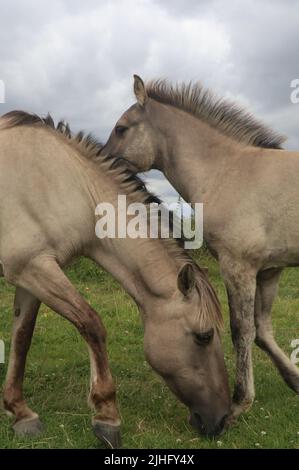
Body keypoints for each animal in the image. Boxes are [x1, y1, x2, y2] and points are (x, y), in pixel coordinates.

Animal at [0, 111, 231, 448]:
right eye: (204, 336)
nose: (224, 418)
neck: (65, 183)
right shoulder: (34, 268)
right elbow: (92, 324)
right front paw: (106, 415)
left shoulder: (32, 273)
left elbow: (22, 338)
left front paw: (20, 411)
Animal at [102, 75, 299, 420]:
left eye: (122, 128)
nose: (103, 160)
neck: (228, 173)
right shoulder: (269, 270)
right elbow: (263, 331)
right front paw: (295, 380)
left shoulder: (238, 266)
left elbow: (242, 331)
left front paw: (239, 402)